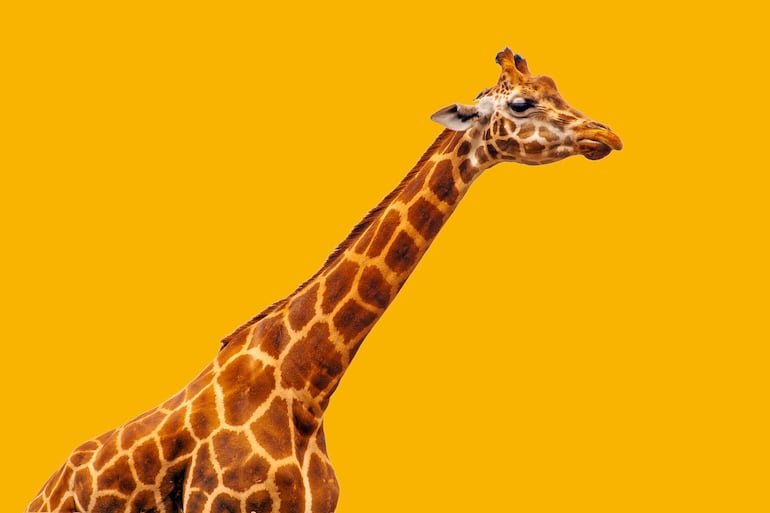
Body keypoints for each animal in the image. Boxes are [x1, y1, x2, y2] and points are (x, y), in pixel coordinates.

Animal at [25, 48, 622, 513]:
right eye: (521, 103)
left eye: (554, 87)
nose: (606, 134)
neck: (306, 388)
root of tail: (43, 490)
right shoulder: (219, 505)